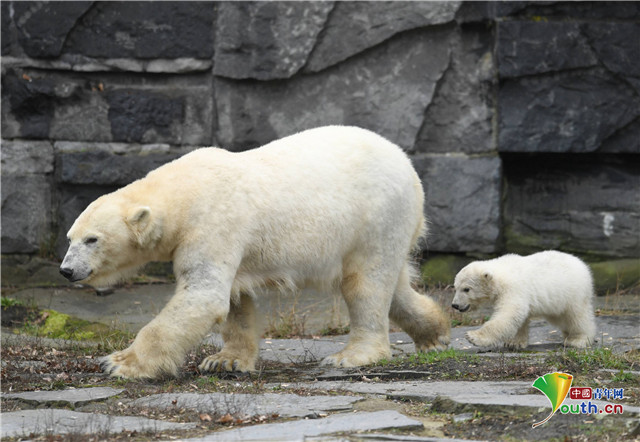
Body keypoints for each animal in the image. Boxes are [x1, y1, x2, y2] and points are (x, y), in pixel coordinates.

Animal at [60, 125, 451, 379]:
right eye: (69, 237)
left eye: (92, 239)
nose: (67, 270)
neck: (183, 192)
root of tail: (405, 162)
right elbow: (235, 299)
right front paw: (225, 361)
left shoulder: (212, 222)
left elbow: (203, 295)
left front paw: (118, 363)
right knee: (392, 283)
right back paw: (434, 334)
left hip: (376, 216)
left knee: (366, 283)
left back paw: (352, 356)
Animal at [451, 251, 596, 349]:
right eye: (455, 287)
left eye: (466, 289)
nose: (455, 305)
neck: (500, 275)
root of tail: (582, 264)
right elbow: (519, 318)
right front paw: (514, 343)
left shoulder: (513, 289)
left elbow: (508, 314)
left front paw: (473, 337)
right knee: (561, 318)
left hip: (573, 292)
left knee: (576, 316)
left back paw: (577, 339)